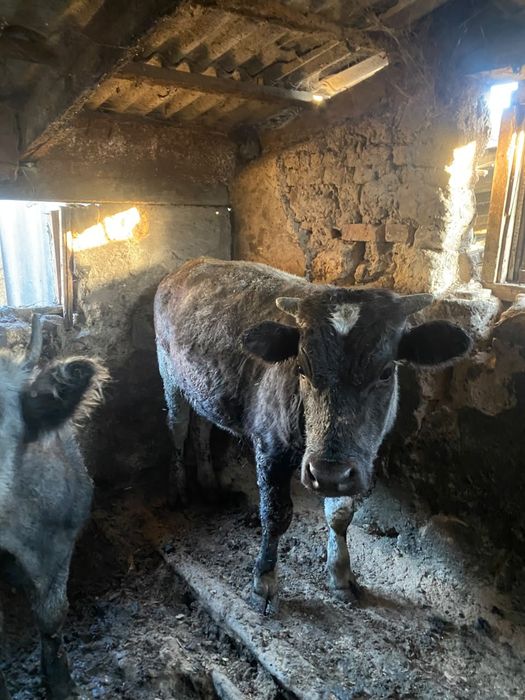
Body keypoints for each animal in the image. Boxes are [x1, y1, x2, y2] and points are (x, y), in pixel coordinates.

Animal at [154, 258, 471, 614]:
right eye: (301, 369)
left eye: (386, 371)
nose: (328, 472)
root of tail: (189, 265)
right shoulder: (270, 447)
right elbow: (276, 514)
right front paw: (263, 584)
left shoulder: (352, 464)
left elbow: (340, 516)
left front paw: (341, 576)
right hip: (168, 371)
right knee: (178, 426)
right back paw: (179, 491)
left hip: (202, 386)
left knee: (202, 426)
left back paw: (209, 485)